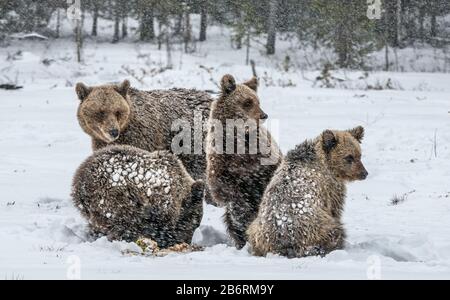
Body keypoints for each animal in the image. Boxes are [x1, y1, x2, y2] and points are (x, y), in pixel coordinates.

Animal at [207, 74, 282, 248]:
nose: (263, 115)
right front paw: (242, 212)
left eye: (257, 101)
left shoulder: (262, 159)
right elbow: (226, 192)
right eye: (247, 102)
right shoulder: (220, 164)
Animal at [248, 126, 368, 258]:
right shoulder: (331, 191)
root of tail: (284, 242)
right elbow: (336, 210)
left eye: (359, 155)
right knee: (333, 232)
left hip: (256, 229)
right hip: (316, 227)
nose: (364, 173)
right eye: (348, 157)